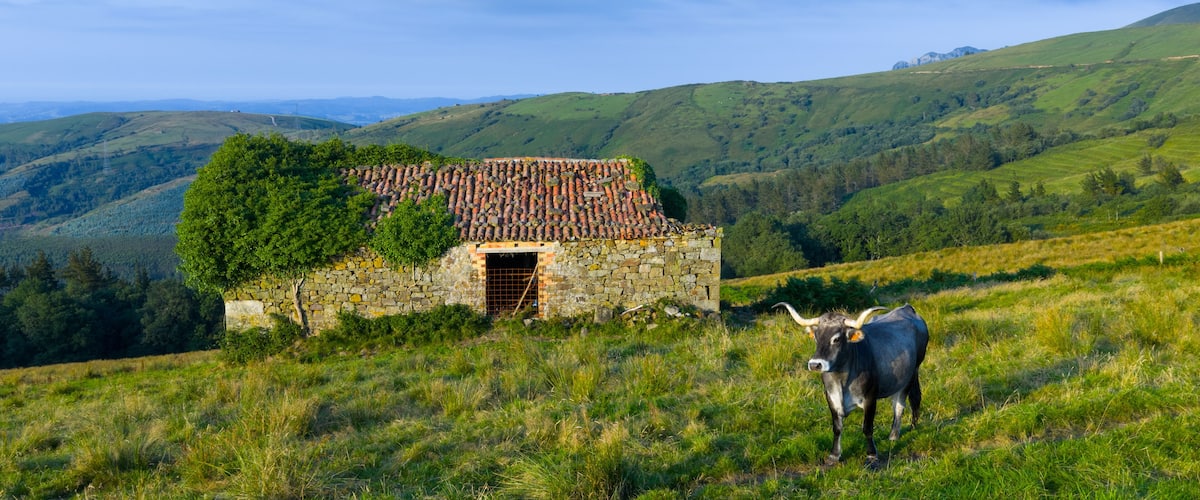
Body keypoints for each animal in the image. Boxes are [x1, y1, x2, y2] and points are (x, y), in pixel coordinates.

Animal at [774, 302, 929, 465]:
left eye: (836, 339)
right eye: (816, 337)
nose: (815, 364)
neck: (841, 379)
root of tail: (907, 308)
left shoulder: (870, 398)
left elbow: (867, 427)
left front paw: (871, 456)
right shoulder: (831, 397)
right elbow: (837, 428)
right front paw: (834, 455)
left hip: (911, 374)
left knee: (902, 403)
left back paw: (896, 434)